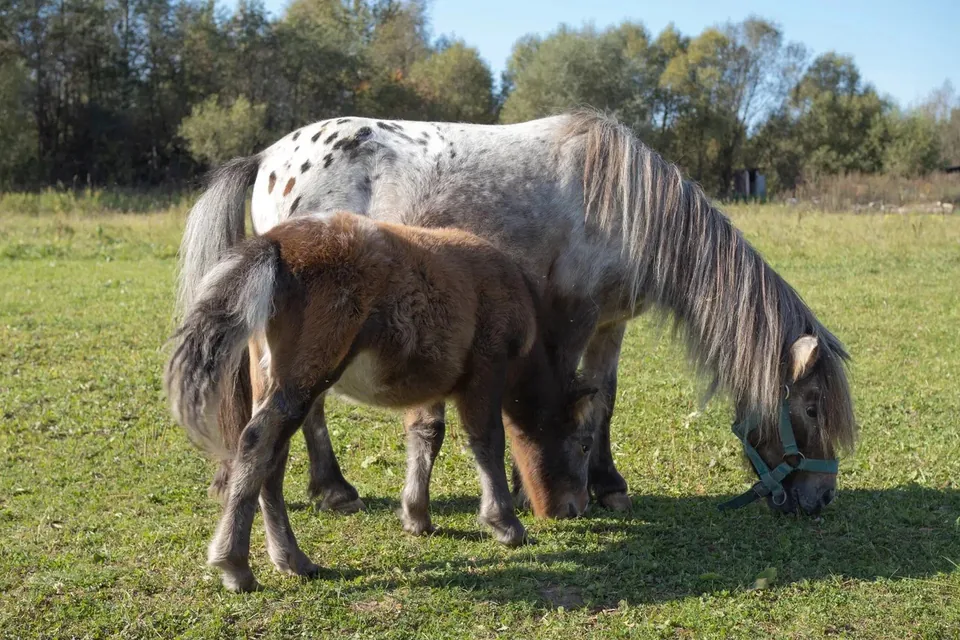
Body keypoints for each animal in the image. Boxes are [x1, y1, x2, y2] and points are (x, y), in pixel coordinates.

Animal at [165, 212, 597, 592]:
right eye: (584, 443)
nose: (575, 508)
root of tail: (277, 245)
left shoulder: (432, 383)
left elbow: (427, 435)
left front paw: (417, 517)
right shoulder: (487, 366)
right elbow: (486, 440)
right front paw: (505, 525)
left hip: (270, 375)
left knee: (273, 457)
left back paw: (293, 560)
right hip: (306, 374)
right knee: (257, 441)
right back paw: (236, 566)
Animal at [176, 110, 857, 517]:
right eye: (811, 408)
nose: (821, 497)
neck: (628, 208)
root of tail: (268, 158)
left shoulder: (612, 324)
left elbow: (603, 399)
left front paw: (608, 483)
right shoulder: (571, 317)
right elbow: (559, 395)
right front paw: (542, 485)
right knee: (309, 404)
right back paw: (334, 490)